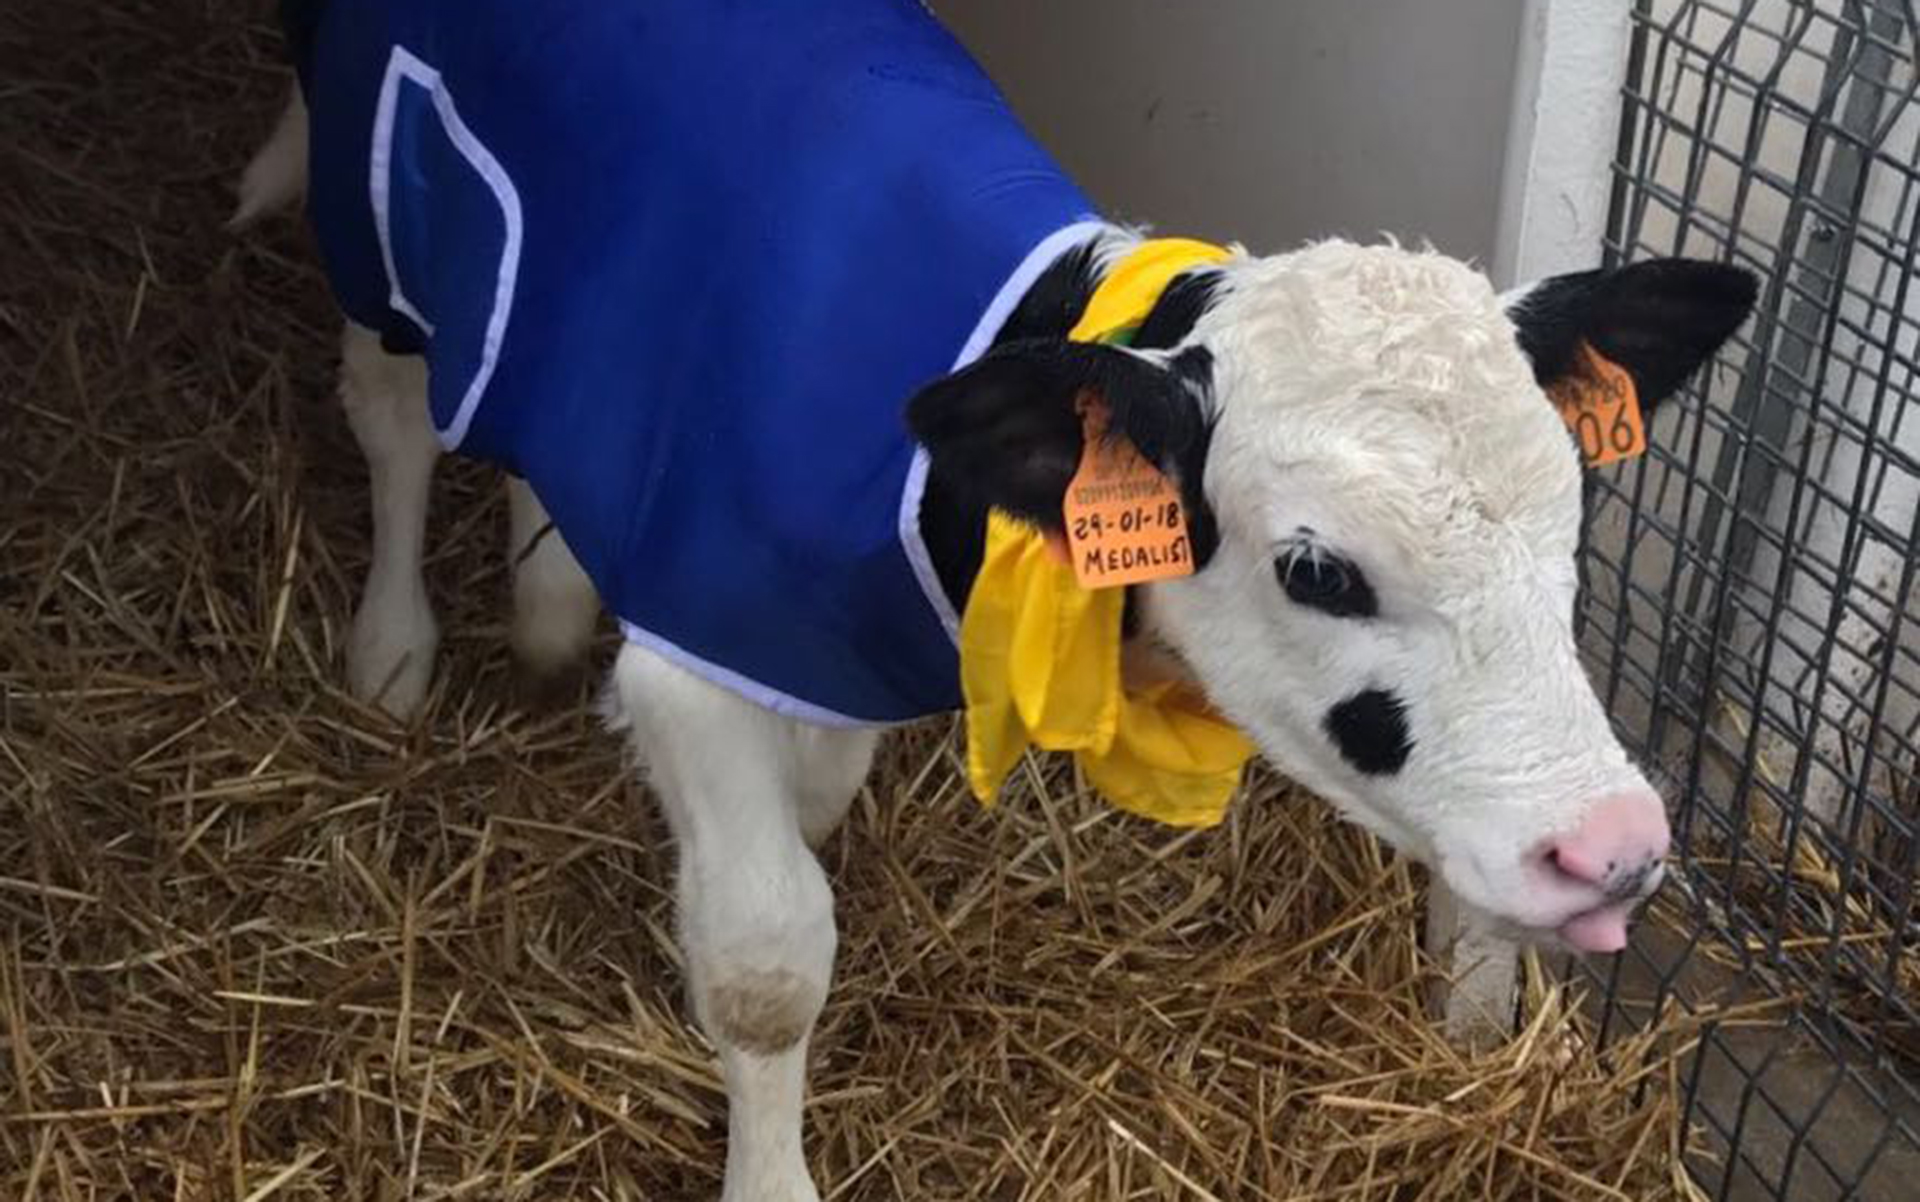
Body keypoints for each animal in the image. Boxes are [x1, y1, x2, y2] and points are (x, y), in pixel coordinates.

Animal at [247, 4, 1758, 1190]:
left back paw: (551, 585)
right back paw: (394, 648)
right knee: (393, 413)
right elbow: (767, 960)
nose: (1614, 848)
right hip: (381, 222)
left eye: (1572, 520)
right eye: (1319, 569)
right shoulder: (702, 653)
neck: (930, 483)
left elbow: (819, 795)